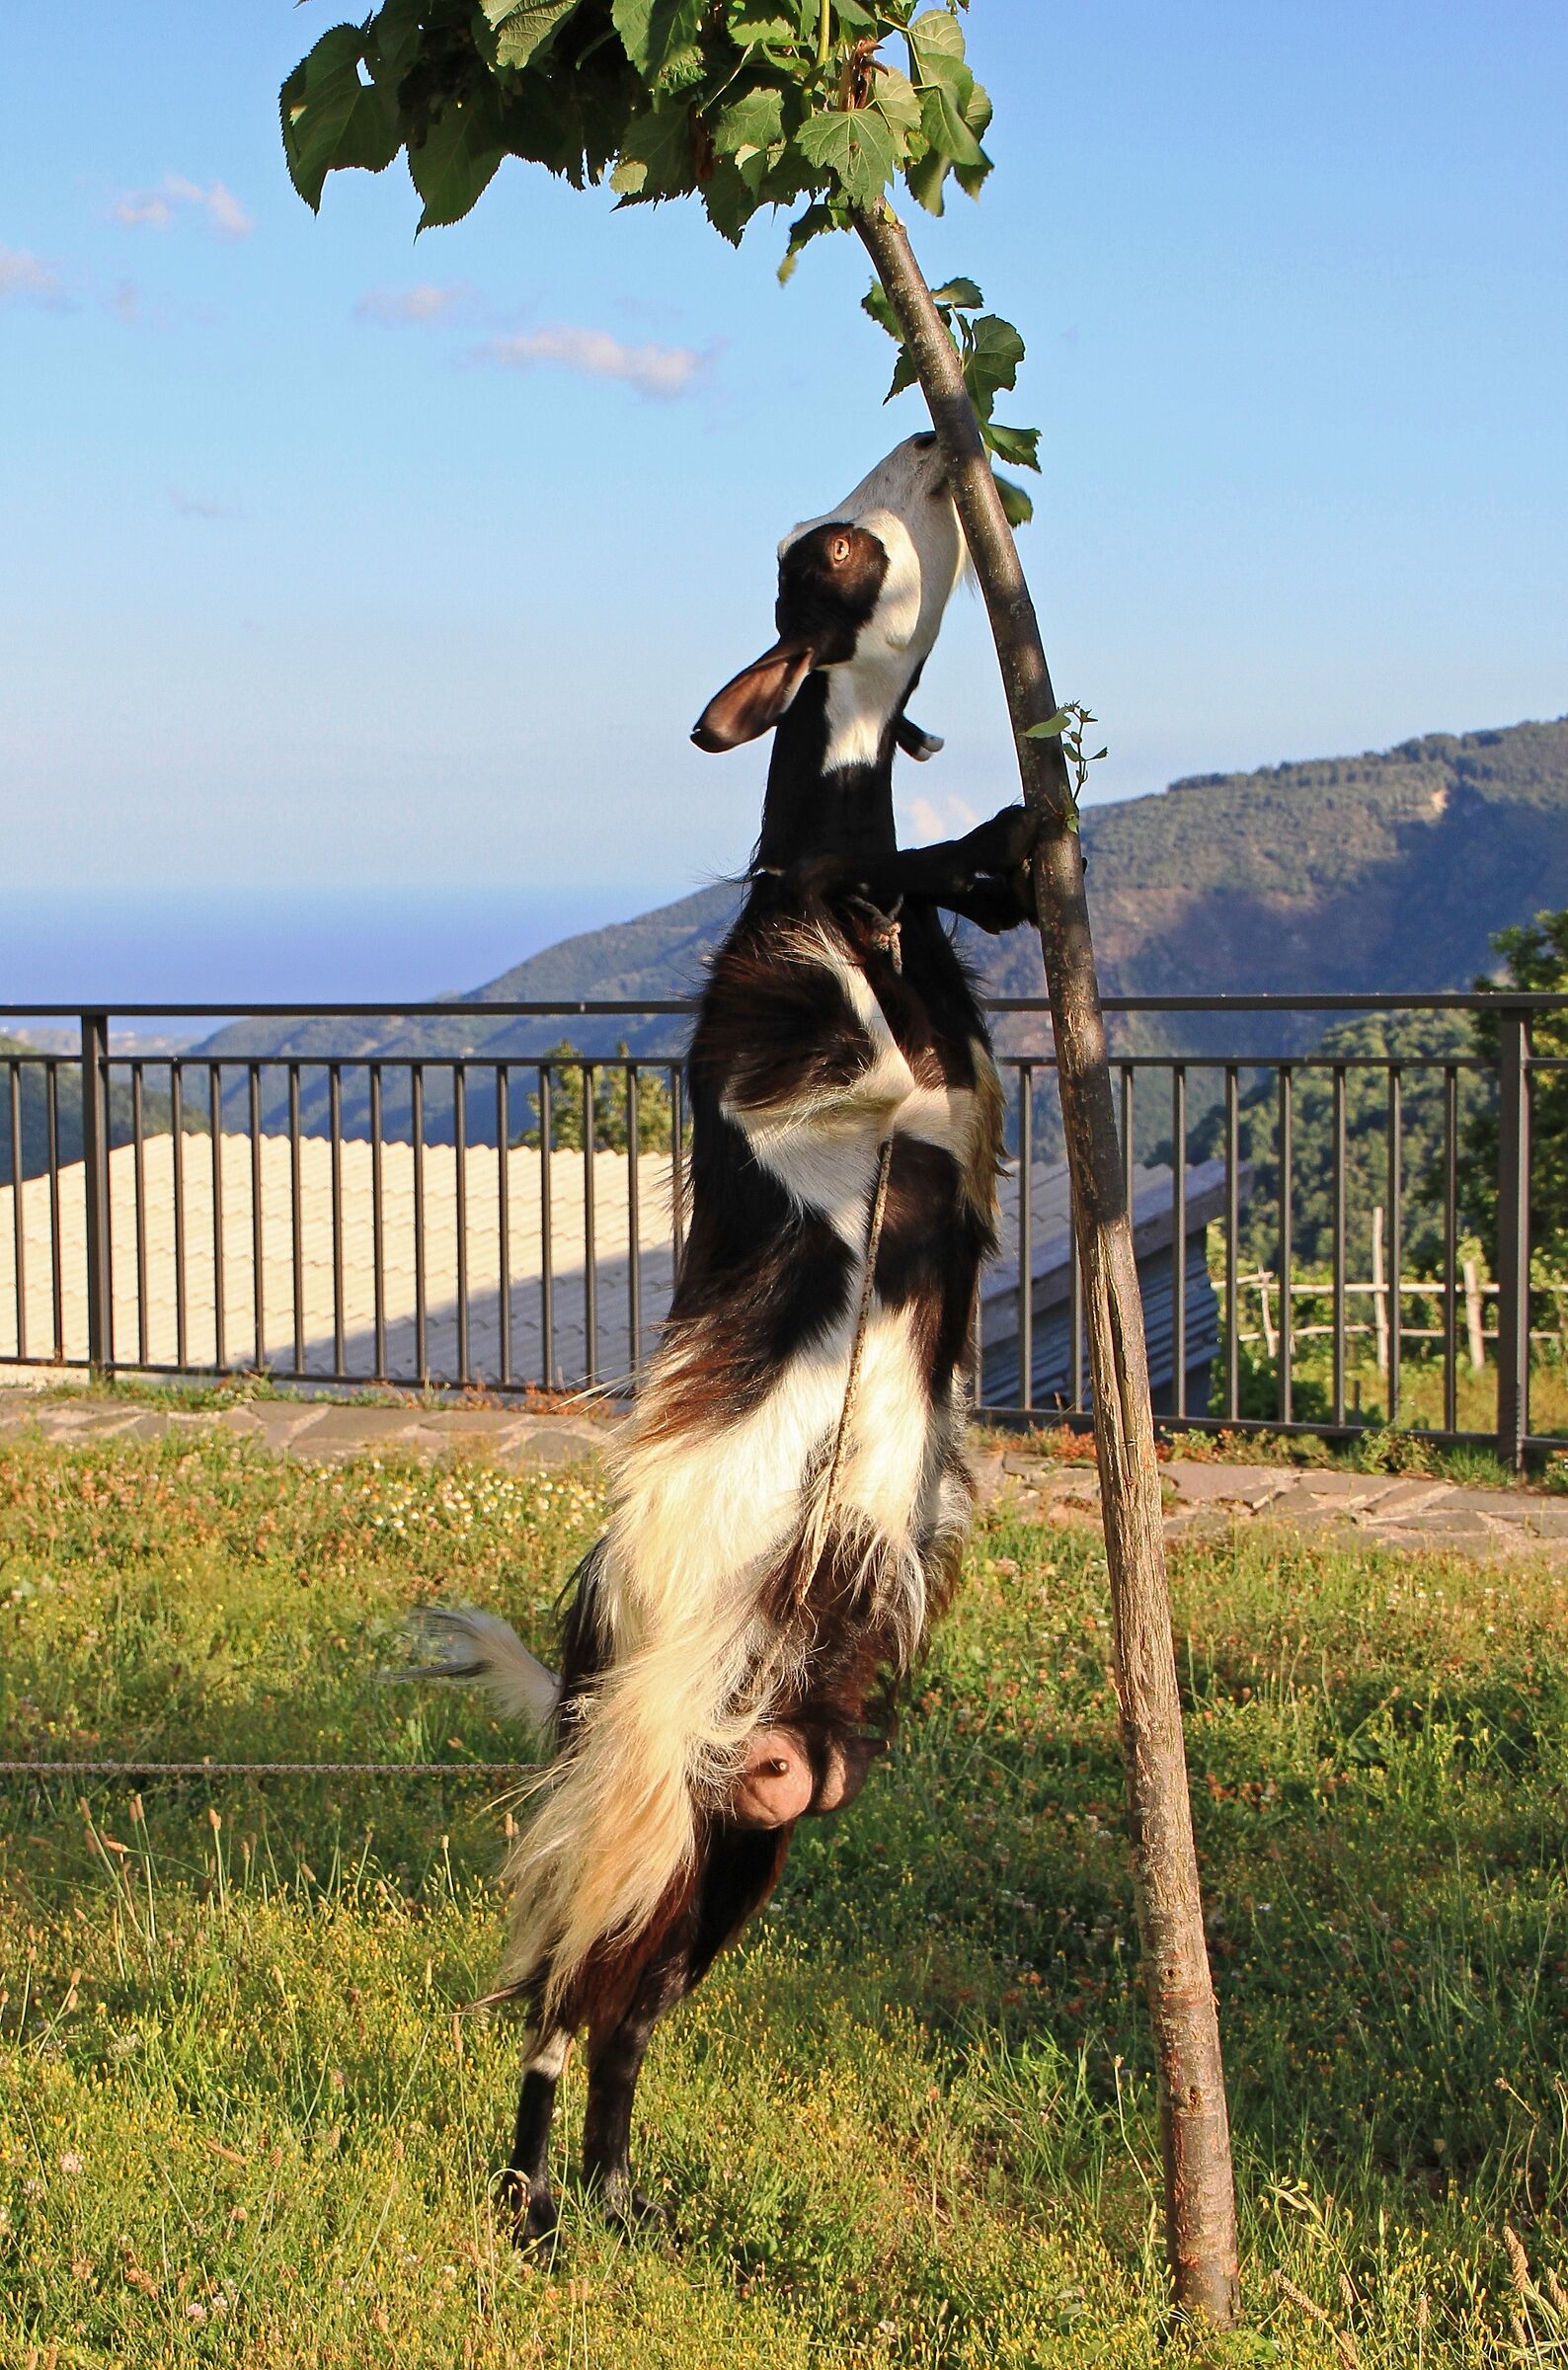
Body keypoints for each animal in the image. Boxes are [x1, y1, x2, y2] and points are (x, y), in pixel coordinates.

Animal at [420, 434, 1040, 2245]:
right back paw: (529, 2208)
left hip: (748, 1825)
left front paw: (1000, 850)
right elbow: (868, 1053)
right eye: (824, 548)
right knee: (557, 2001)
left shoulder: (967, 1104)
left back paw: (622, 2202)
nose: (932, 444)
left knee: (632, 2009)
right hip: (630, 1777)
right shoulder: (821, 1095)